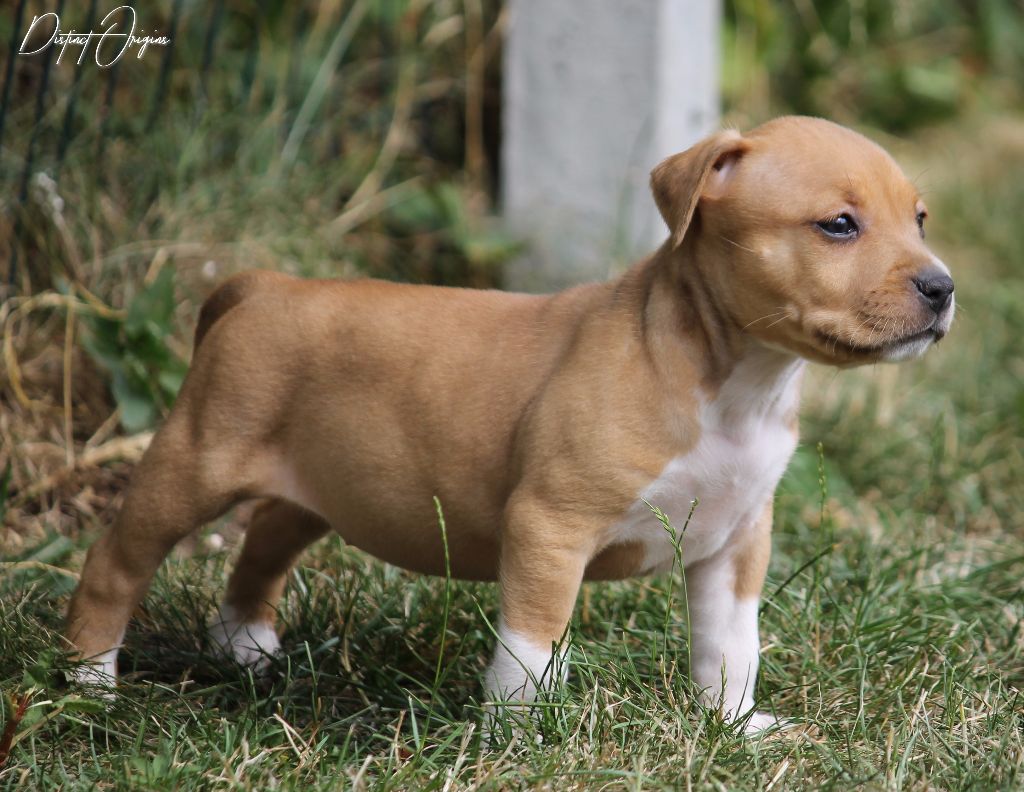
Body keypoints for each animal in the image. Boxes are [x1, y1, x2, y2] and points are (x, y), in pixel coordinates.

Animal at [65, 116, 954, 732]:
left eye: (920, 219)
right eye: (838, 225)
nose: (943, 287)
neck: (738, 383)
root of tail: (263, 285)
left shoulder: (737, 543)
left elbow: (731, 644)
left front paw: (732, 725)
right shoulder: (549, 527)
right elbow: (532, 645)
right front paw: (520, 734)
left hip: (319, 483)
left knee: (266, 543)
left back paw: (245, 645)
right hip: (194, 461)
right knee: (117, 561)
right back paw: (87, 683)